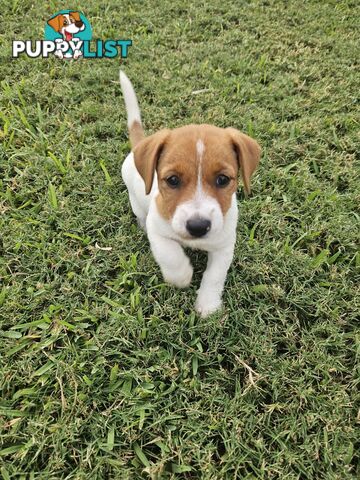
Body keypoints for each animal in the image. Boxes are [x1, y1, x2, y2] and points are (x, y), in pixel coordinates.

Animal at [119, 71, 260, 316]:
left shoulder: (224, 245)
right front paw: (182, 276)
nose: (198, 226)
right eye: (172, 180)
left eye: (223, 179)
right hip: (136, 201)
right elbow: (170, 254)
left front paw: (208, 304)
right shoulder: (158, 231)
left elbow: (215, 276)